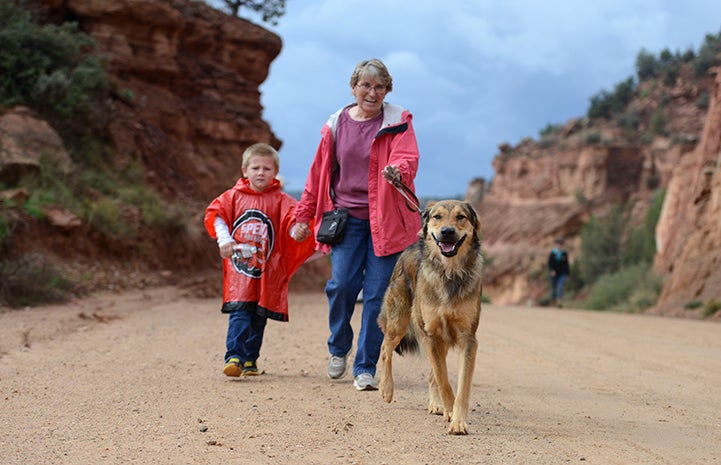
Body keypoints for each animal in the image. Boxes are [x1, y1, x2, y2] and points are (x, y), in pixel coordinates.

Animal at [376, 199, 484, 436]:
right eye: (437, 217)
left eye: (461, 217)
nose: (447, 232)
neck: (449, 272)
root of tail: (409, 247)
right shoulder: (432, 334)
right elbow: (444, 381)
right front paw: (450, 411)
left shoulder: (468, 339)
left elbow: (461, 386)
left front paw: (458, 420)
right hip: (400, 323)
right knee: (385, 348)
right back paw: (386, 388)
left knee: (431, 373)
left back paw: (436, 404)